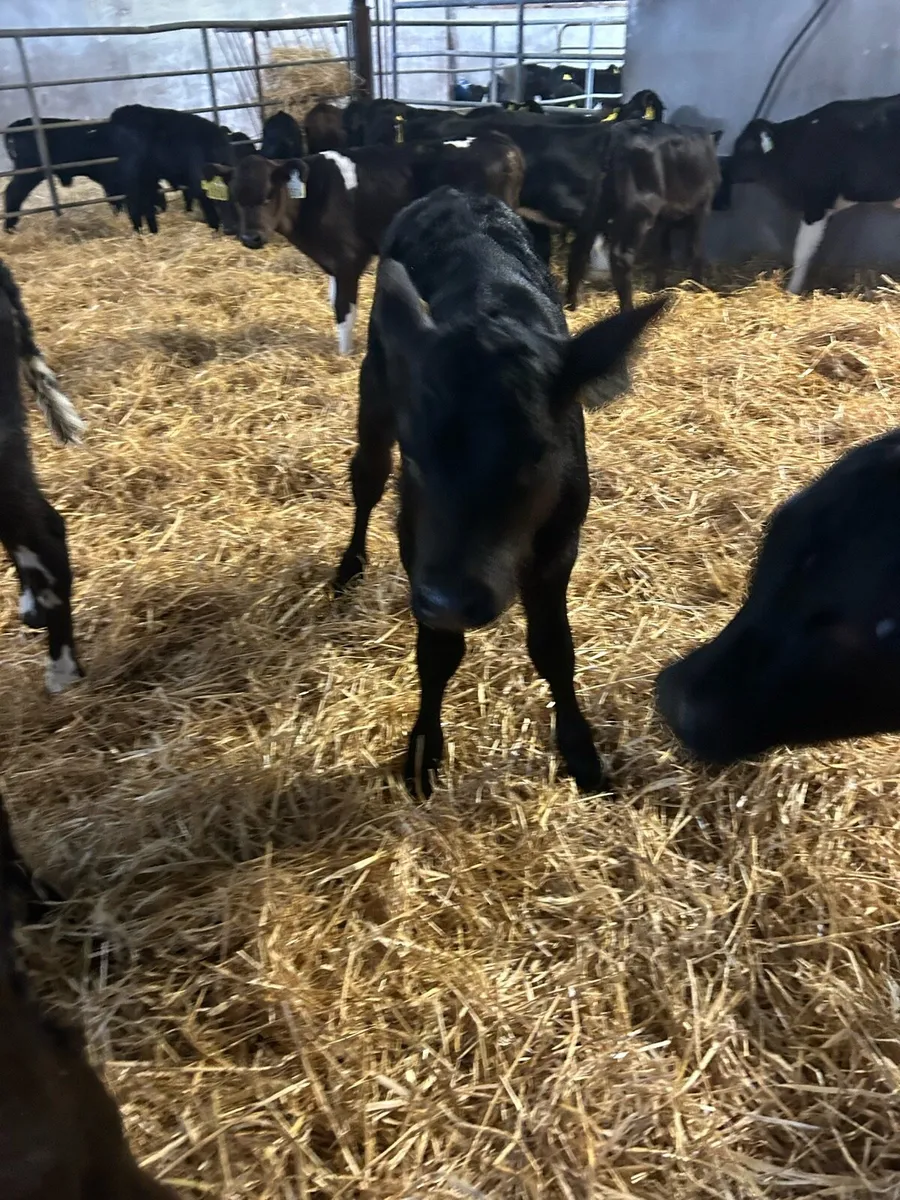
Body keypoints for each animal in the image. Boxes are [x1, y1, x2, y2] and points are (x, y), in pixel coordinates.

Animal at [210, 133, 525, 353]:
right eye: (235, 197)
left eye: (268, 195)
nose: (250, 237)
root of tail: (501, 143)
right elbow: (334, 300)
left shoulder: (349, 257)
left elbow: (343, 309)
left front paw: (344, 356)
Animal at [333, 187, 665, 796]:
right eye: (417, 456)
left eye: (536, 453)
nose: (452, 600)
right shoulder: (419, 542)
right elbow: (438, 650)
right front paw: (424, 751)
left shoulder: (561, 540)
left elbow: (554, 648)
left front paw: (581, 752)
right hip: (375, 385)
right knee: (366, 477)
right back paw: (348, 569)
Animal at [566, 119, 722, 311]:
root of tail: (619, 134)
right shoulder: (701, 209)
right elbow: (695, 249)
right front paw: (698, 287)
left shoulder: (663, 219)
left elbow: (662, 252)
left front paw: (660, 288)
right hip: (639, 209)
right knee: (620, 257)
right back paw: (627, 309)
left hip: (598, 201)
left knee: (579, 247)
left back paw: (571, 305)